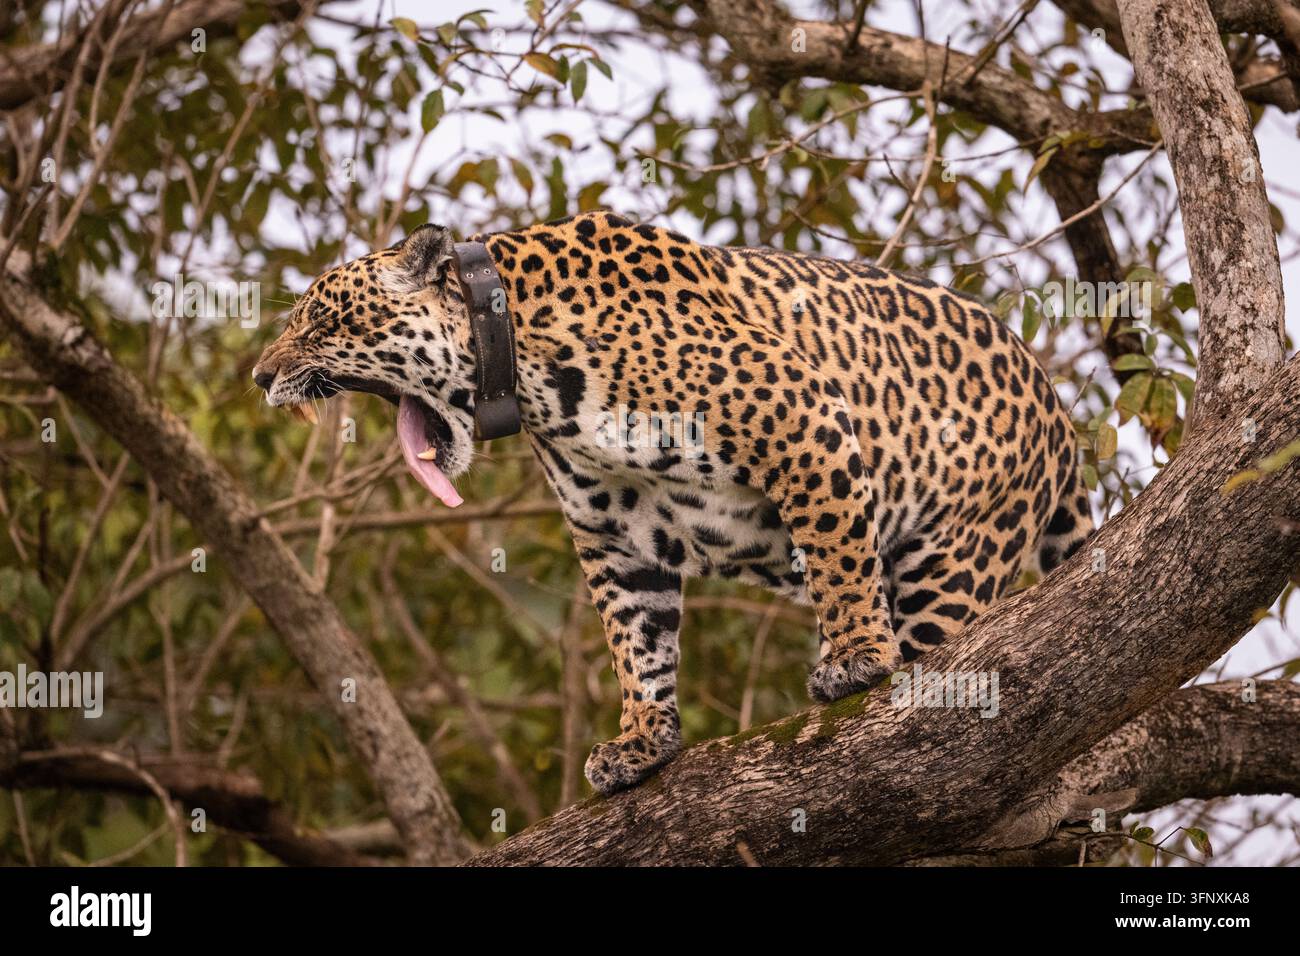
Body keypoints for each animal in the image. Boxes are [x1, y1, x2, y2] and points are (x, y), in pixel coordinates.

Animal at [252, 211, 1093, 796]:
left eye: (315, 318)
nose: (259, 376)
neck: (521, 358)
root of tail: (1057, 407)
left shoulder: (803, 419)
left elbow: (834, 550)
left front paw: (856, 655)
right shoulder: (614, 537)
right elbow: (637, 641)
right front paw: (642, 742)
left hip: (956, 551)